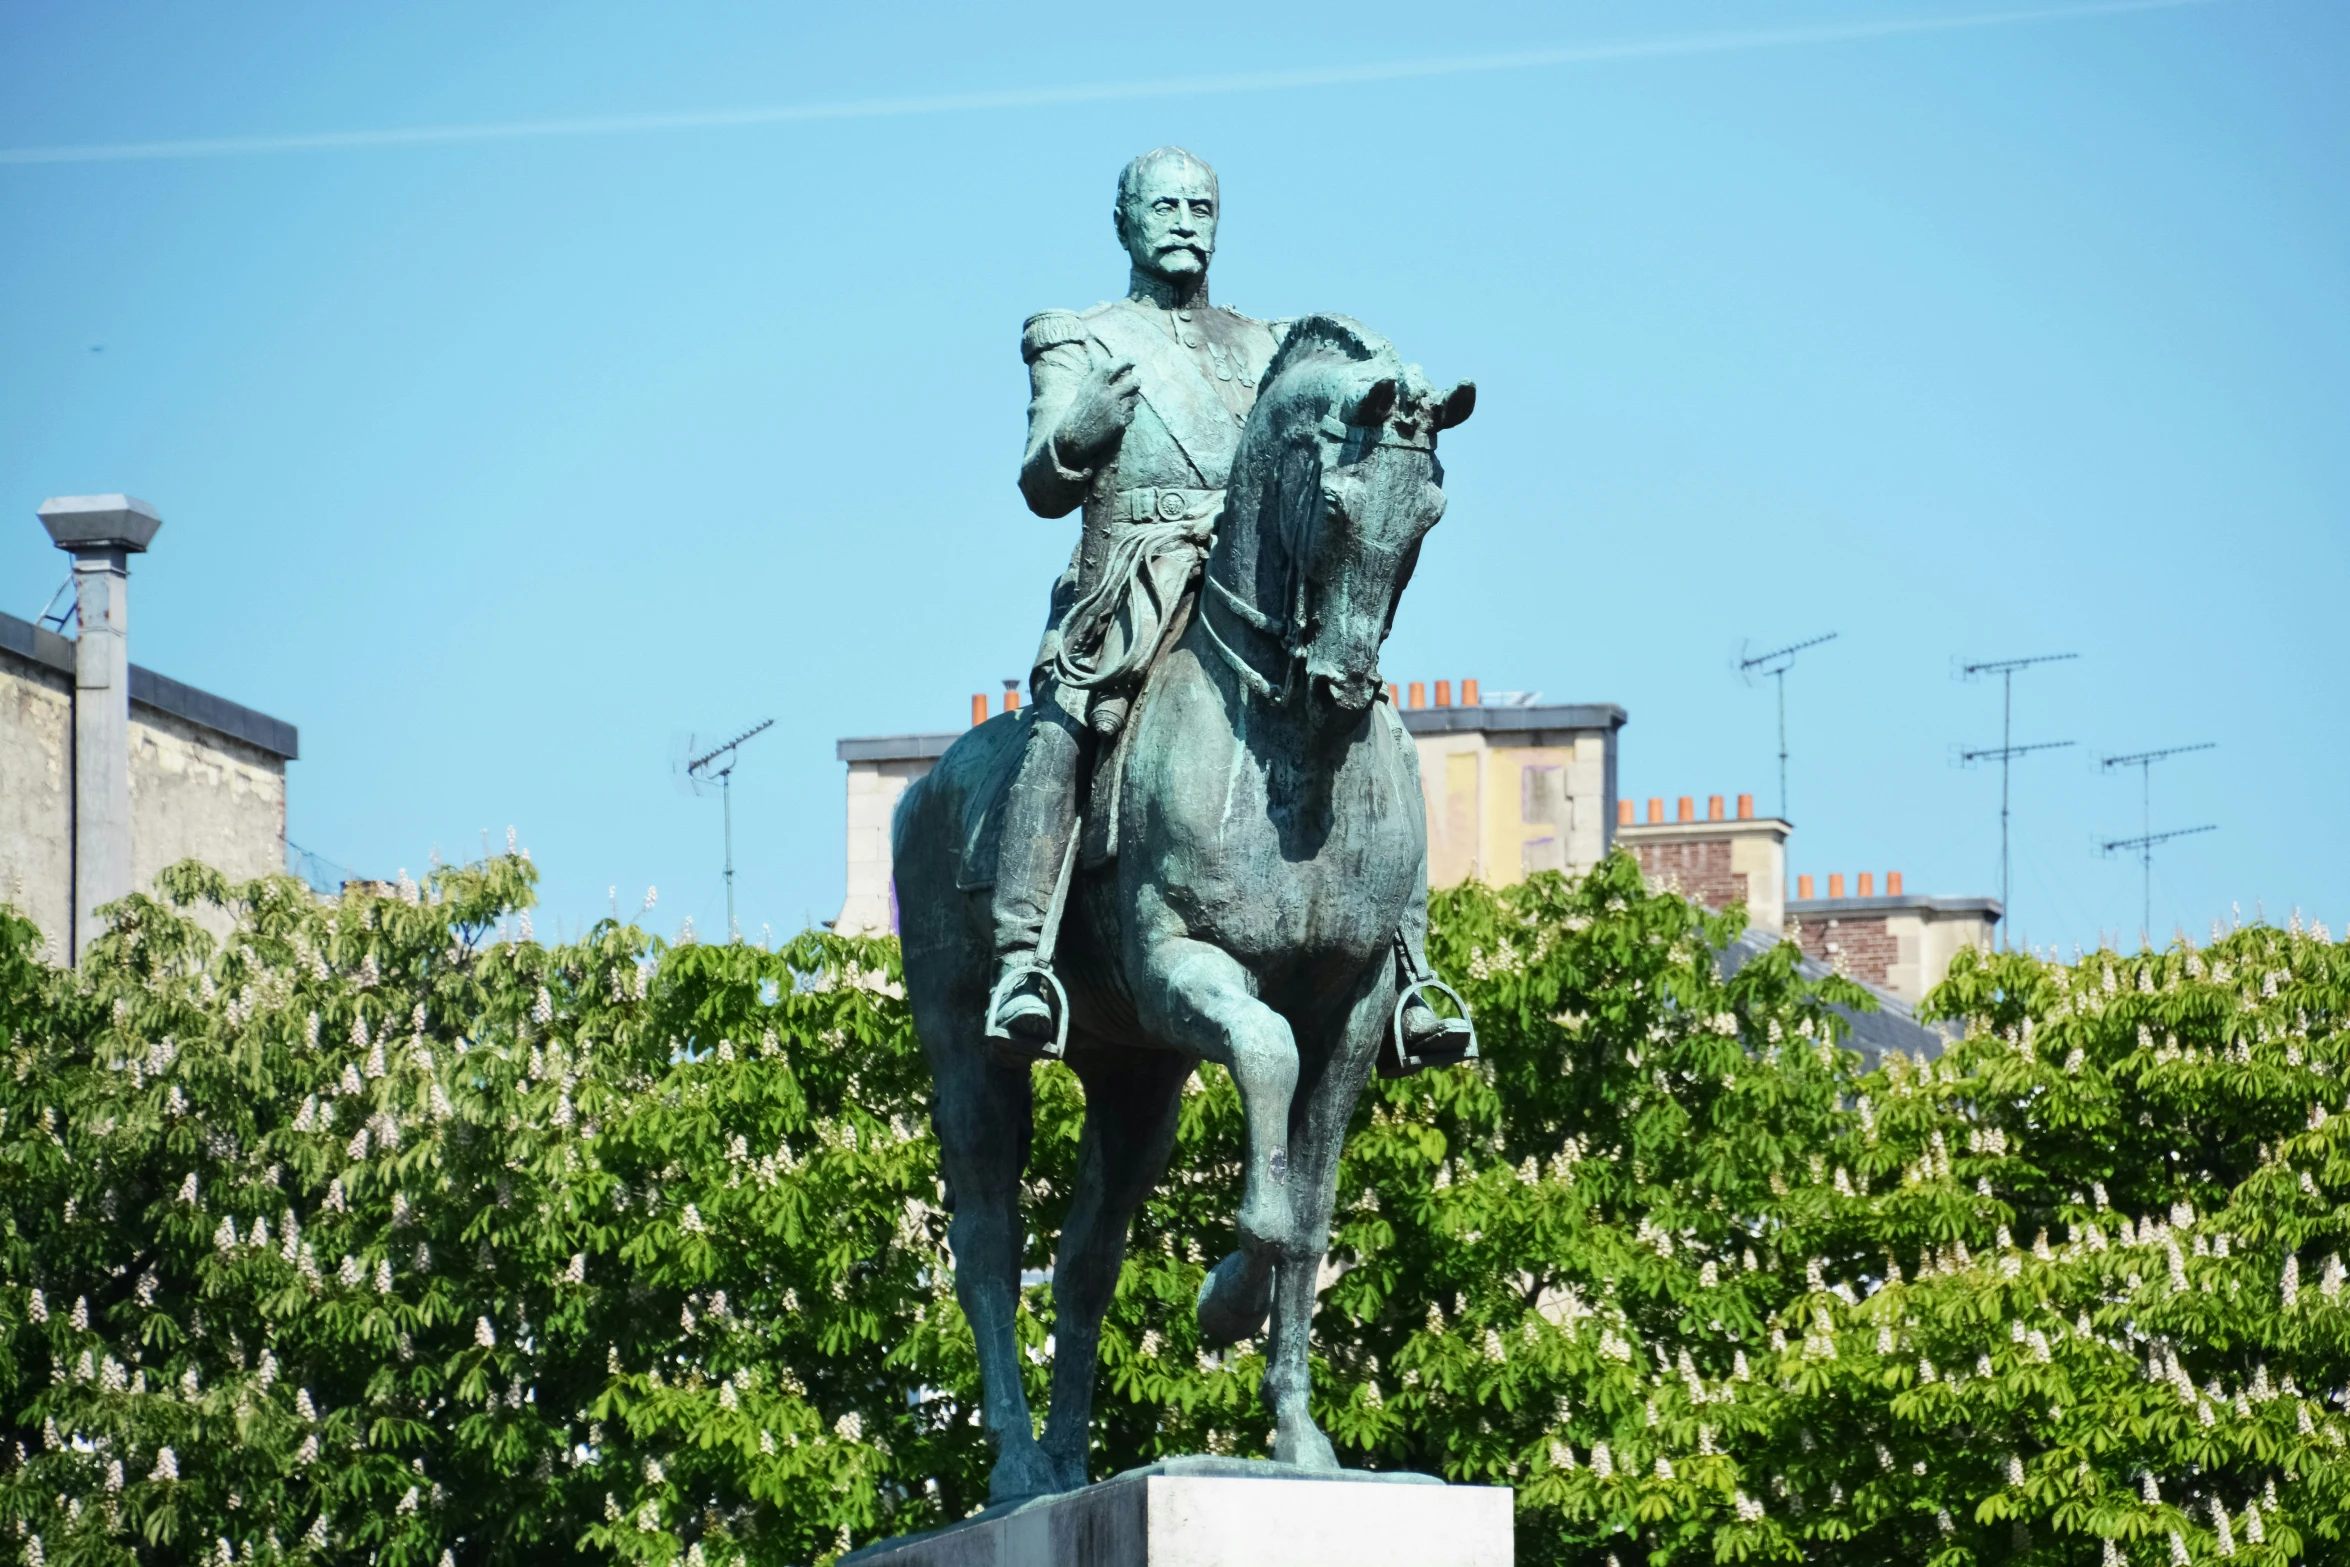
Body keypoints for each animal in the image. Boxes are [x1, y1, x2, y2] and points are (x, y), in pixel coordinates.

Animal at [892, 314, 1466, 1503]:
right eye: (1335, 502)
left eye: (1429, 513)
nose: (1345, 686)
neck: (1290, 758)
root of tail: (924, 787)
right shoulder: (1185, 967)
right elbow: (1264, 1071)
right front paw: (1223, 1296)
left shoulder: (1350, 1013)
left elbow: (1310, 1214)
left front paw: (1298, 1438)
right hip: (969, 1055)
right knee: (985, 1244)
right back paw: (1019, 1464)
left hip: (1135, 1077)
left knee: (1084, 1258)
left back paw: (1071, 1461)